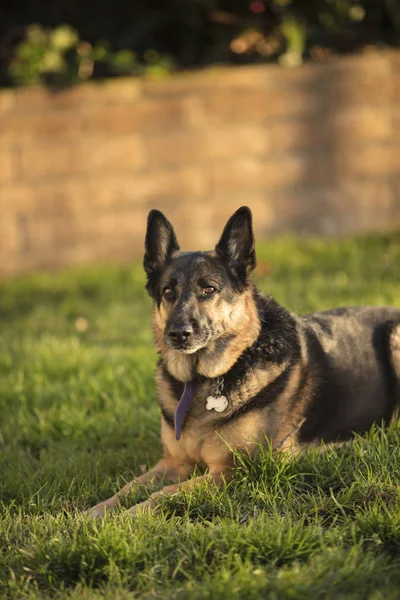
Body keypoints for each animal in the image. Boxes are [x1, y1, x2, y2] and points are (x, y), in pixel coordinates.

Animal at [89, 206, 398, 516]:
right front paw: (95, 512)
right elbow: (127, 488)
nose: (177, 334)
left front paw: (129, 515)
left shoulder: (234, 470)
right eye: (167, 291)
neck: (203, 379)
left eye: (209, 289)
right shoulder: (172, 463)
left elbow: (164, 493)